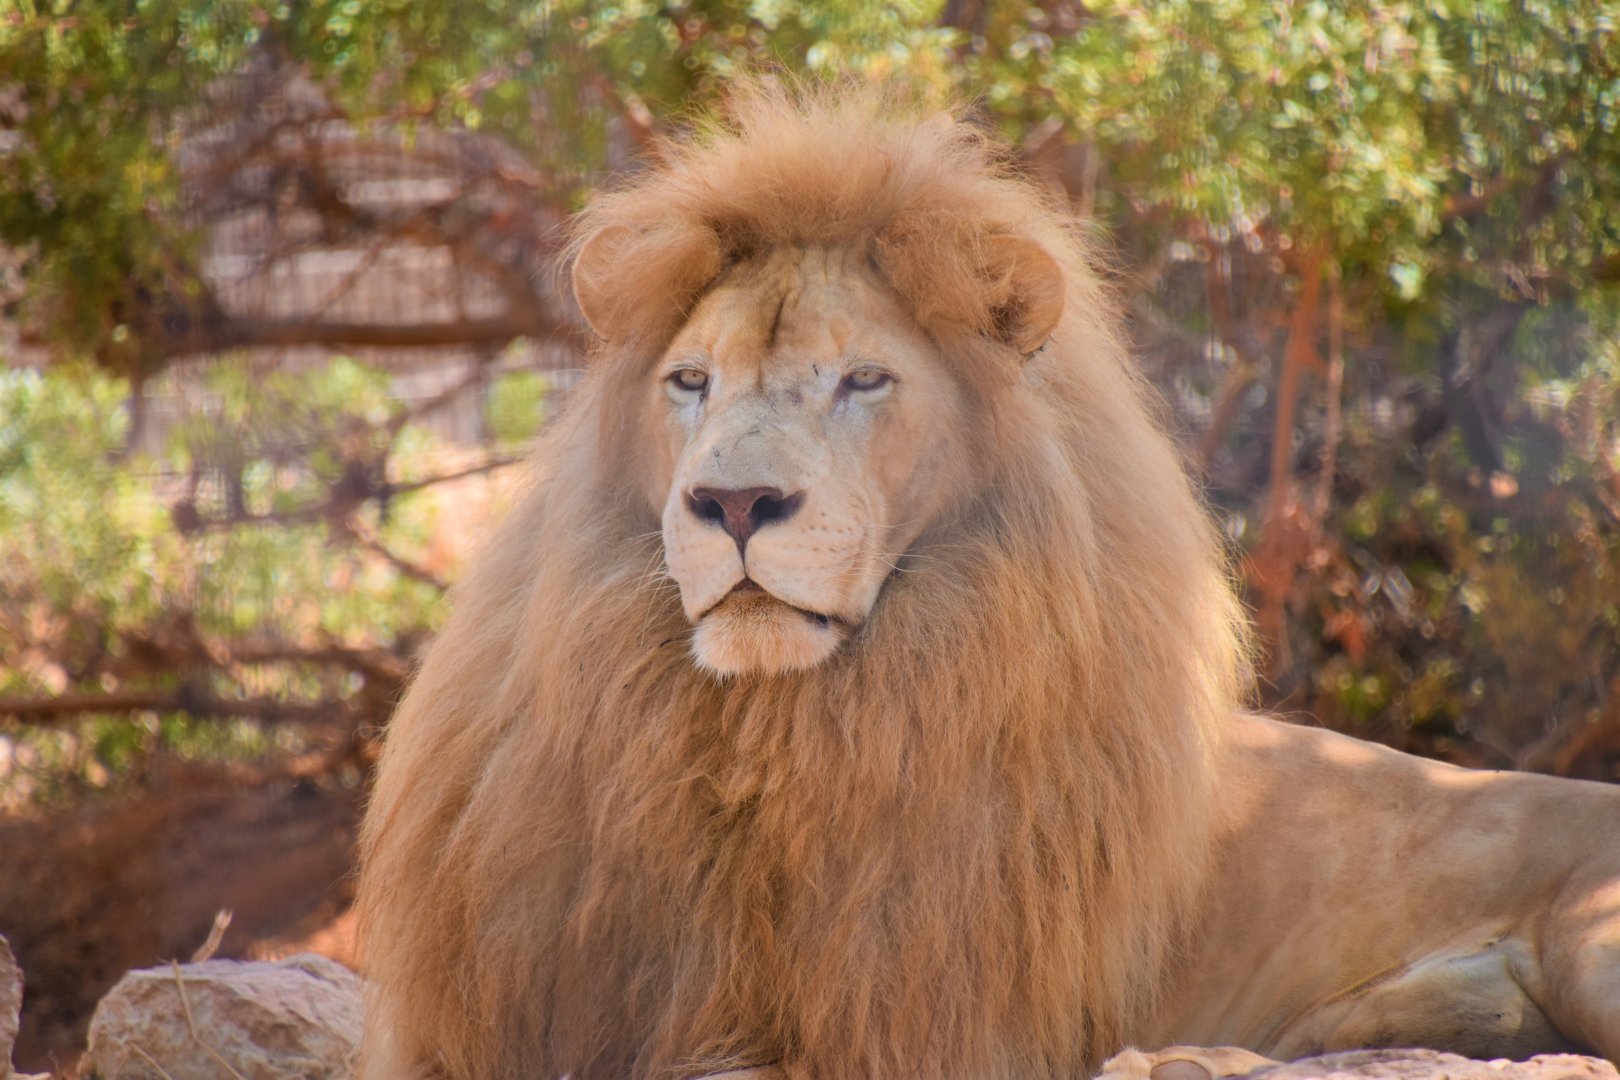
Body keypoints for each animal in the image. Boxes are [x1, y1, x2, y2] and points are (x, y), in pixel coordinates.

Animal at [354, 84, 1620, 1080]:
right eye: (690, 381)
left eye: (865, 380)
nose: (734, 504)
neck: (773, 734)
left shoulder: (911, 1025)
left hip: (1588, 936)